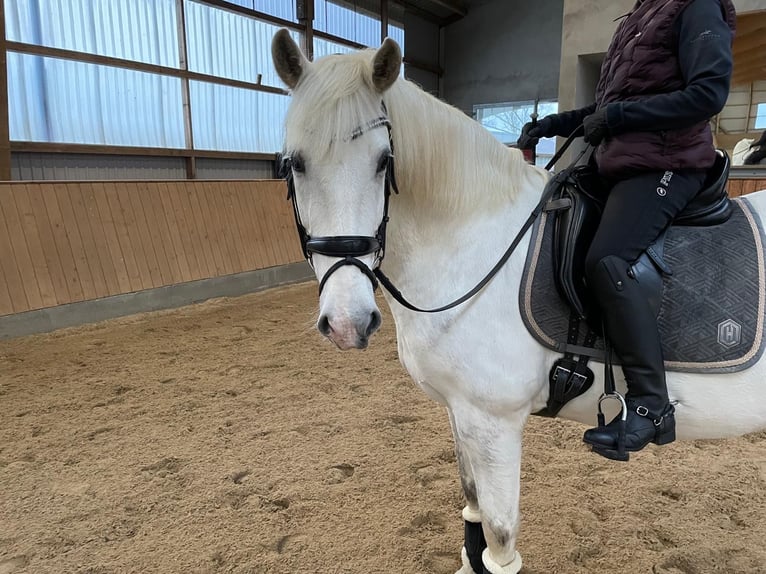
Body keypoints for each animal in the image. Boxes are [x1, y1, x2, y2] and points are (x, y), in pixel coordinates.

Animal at [270, 31, 766, 574]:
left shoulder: (495, 422)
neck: (474, 242)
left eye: (384, 161)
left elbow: (499, 538)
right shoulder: (460, 410)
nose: (348, 322)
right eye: (294, 162)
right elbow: (471, 508)